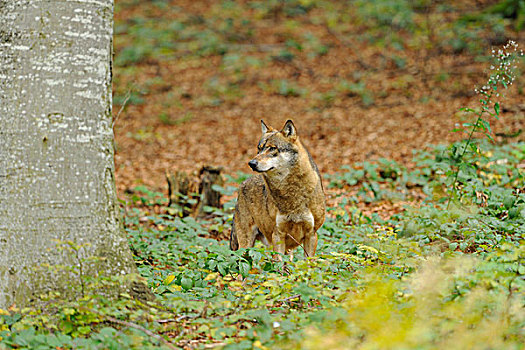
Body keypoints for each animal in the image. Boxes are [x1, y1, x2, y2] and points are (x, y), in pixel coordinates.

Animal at [228, 119, 324, 258]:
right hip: (245, 245)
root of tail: (243, 183)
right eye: (259, 149)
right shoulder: (278, 235)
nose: (251, 163)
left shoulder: (311, 235)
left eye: (272, 148)